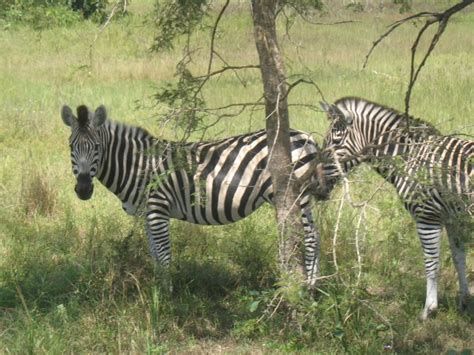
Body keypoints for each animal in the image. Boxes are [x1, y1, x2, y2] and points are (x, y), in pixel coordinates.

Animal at [61, 103, 328, 286]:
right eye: (71, 146)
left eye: (97, 147)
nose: (83, 189)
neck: (138, 165)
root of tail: (306, 136)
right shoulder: (148, 213)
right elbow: (154, 255)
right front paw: (156, 290)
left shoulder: (158, 209)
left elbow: (164, 256)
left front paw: (164, 301)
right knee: (312, 236)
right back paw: (314, 285)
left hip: (298, 194)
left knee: (309, 238)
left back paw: (309, 288)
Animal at [316, 96, 472, 320]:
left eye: (335, 142)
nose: (315, 185)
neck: (409, 156)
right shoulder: (453, 219)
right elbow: (459, 258)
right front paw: (465, 301)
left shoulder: (427, 216)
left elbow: (431, 263)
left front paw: (429, 310)